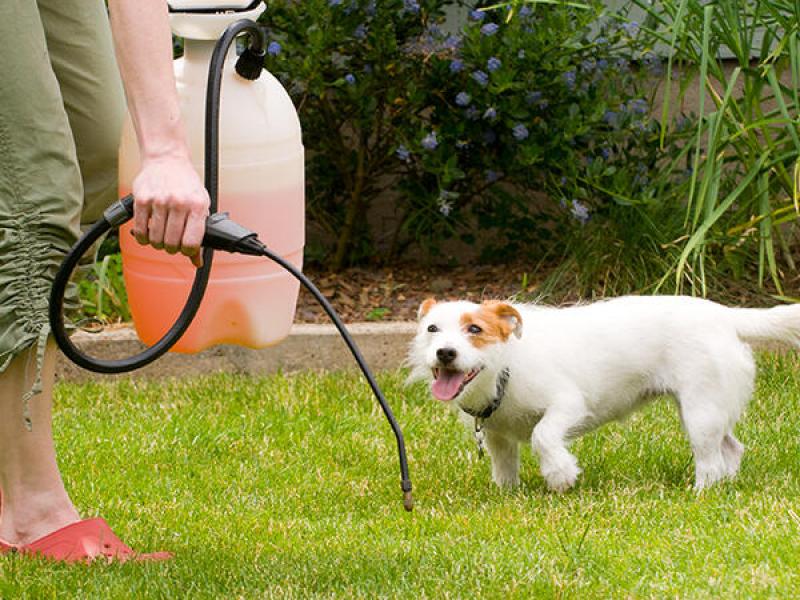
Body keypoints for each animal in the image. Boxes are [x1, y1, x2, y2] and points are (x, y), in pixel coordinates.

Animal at [410, 296, 796, 492]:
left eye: (475, 329)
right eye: (432, 329)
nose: (445, 353)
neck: (506, 365)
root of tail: (725, 315)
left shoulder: (568, 404)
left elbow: (542, 435)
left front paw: (560, 475)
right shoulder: (497, 435)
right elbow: (505, 465)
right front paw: (508, 494)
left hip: (701, 411)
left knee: (710, 461)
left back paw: (699, 493)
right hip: (707, 409)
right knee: (731, 448)